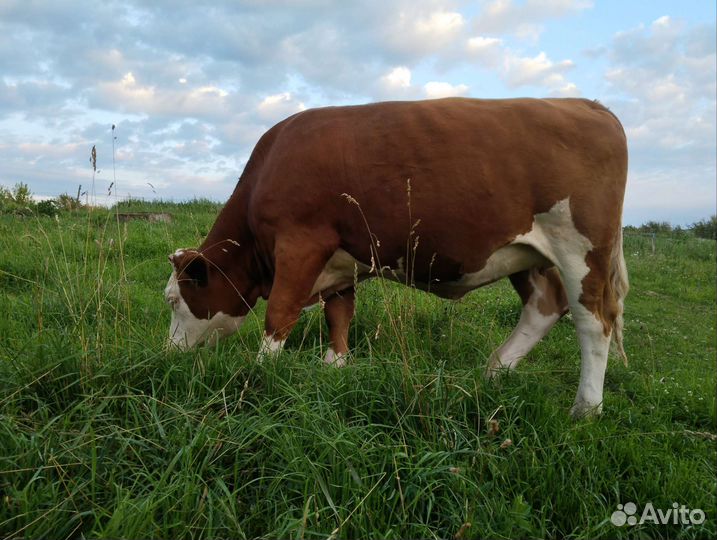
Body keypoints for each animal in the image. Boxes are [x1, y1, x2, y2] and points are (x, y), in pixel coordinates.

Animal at [165, 97, 628, 418]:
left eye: (173, 300)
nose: (166, 354)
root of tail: (589, 105)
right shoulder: (341, 260)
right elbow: (339, 313)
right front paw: (335, 366)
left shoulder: (300, 242)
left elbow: (280, 312)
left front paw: (260, 373)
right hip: (527, 253)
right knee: (545, 305)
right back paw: (495, 370)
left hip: (580, 248)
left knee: (594, 321)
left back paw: (585, 408)